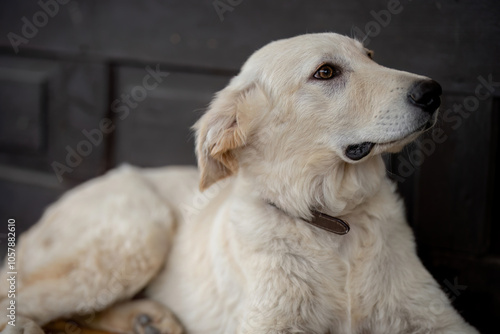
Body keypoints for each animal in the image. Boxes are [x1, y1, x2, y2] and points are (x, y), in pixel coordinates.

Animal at [0, 32, 478, 334]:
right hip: (134, 236)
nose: (433, 91)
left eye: (372, 56)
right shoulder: (269, 324)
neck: (331, 220)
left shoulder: (440, 320)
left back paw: (146, 320)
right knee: (21, 296)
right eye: (325, 72)